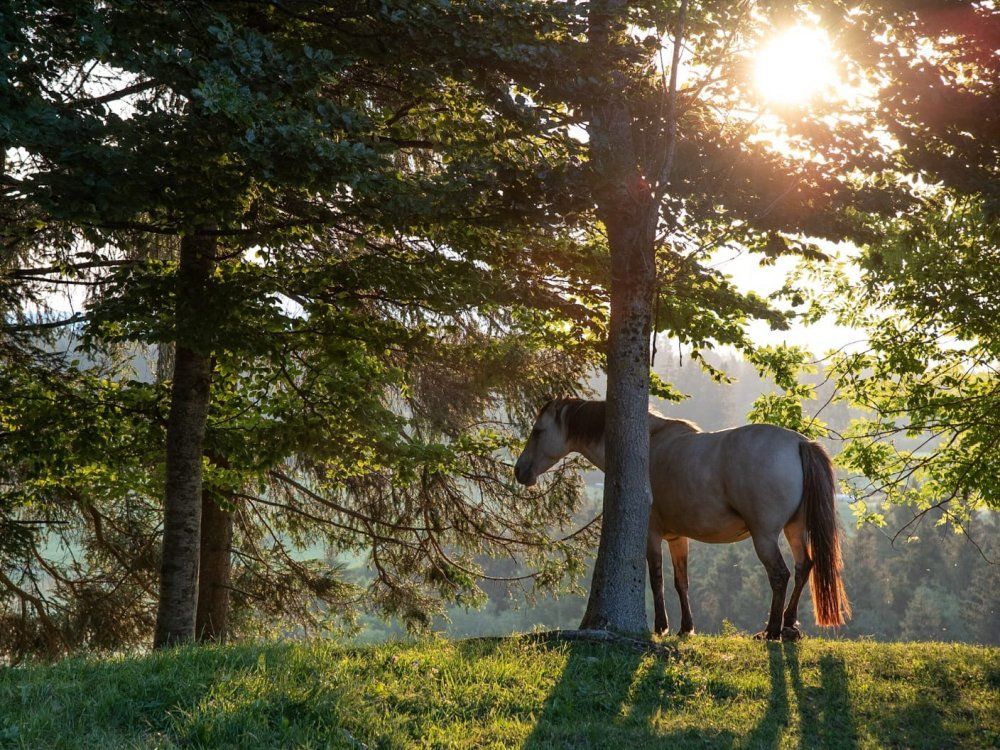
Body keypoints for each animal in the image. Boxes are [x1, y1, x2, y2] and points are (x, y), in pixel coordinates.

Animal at [513, 398, 850, 640]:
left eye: (538, 431)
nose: (520, 471)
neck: (651, 442)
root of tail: (799, 443)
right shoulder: (677, 537)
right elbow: (681, 582)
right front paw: (686, 627)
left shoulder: (651, 535)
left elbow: (657, 579)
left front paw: (660, 626)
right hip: (794, 529)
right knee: (804, 566)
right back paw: (790, 625)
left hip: (765, 536)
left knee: (780, 575)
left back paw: (772, 631)